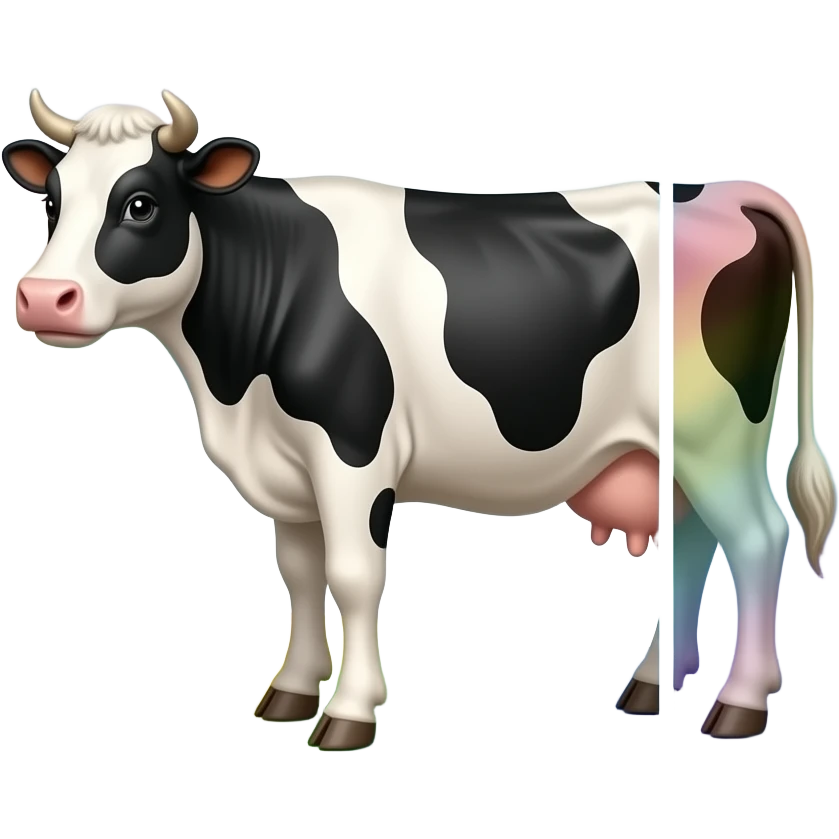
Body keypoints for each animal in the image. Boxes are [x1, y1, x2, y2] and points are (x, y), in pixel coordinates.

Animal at [2, 92, 831, 748]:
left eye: (140, 204)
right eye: (53, 202)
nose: (43, 298)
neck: (233, 379)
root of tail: (717, 188)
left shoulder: (351, 451)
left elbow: (353, 574)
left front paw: (349, 713)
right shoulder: (287, 468)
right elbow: (299, 572)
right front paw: (290, 693)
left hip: (713, 433)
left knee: (756, 537)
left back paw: (738, 705)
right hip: (677, 449)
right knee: (694, 538)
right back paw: (653, 683)